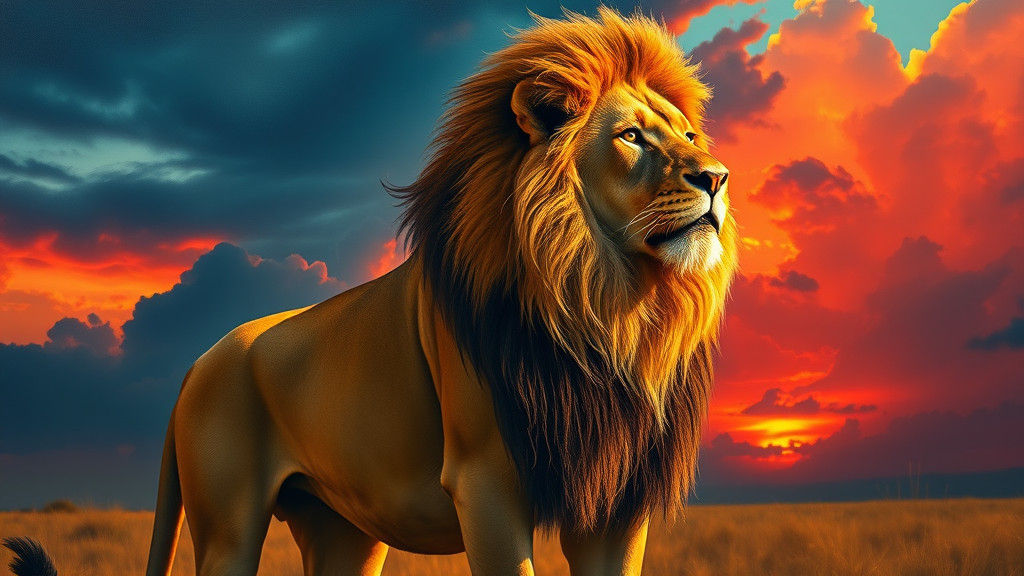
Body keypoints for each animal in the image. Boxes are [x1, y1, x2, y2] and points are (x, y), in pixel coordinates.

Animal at [141, 8, 735, 576]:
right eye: (631, 136)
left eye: (688, 137)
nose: (717, 177)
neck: (609, 304)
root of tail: (199, 360)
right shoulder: (485, 480)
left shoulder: (618, 498)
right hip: (228, 529)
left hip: (342, 529)